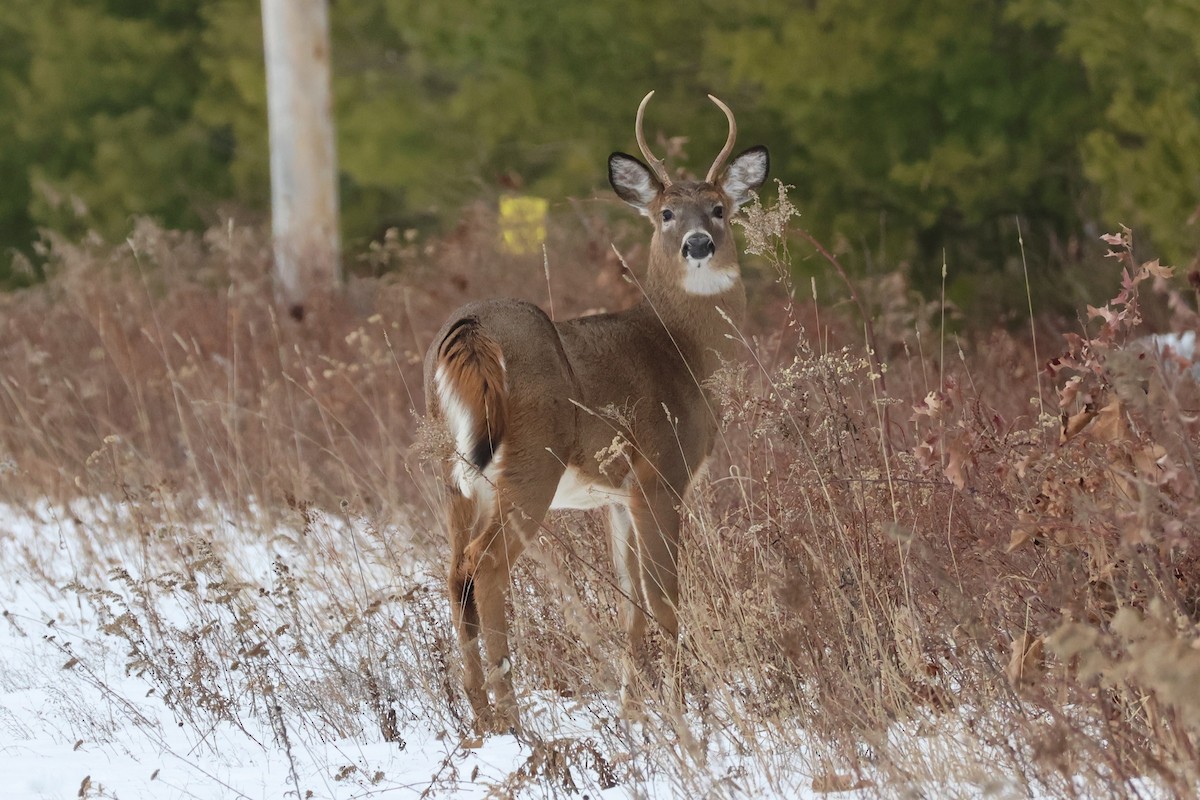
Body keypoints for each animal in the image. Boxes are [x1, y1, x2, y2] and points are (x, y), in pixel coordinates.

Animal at [424, 91, 769, 734]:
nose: (699, 245)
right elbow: (663, 596)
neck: (683, 354)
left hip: (452, 476)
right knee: (487, 568)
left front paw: (633, 712)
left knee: (454, 572)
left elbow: (629, 599)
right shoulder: (662, 473)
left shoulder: (618, 494)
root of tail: (473, 330)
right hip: (530, 464)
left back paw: (479, 720)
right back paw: (512, 720)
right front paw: (679, 708)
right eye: (665, 214)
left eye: (718, 209)